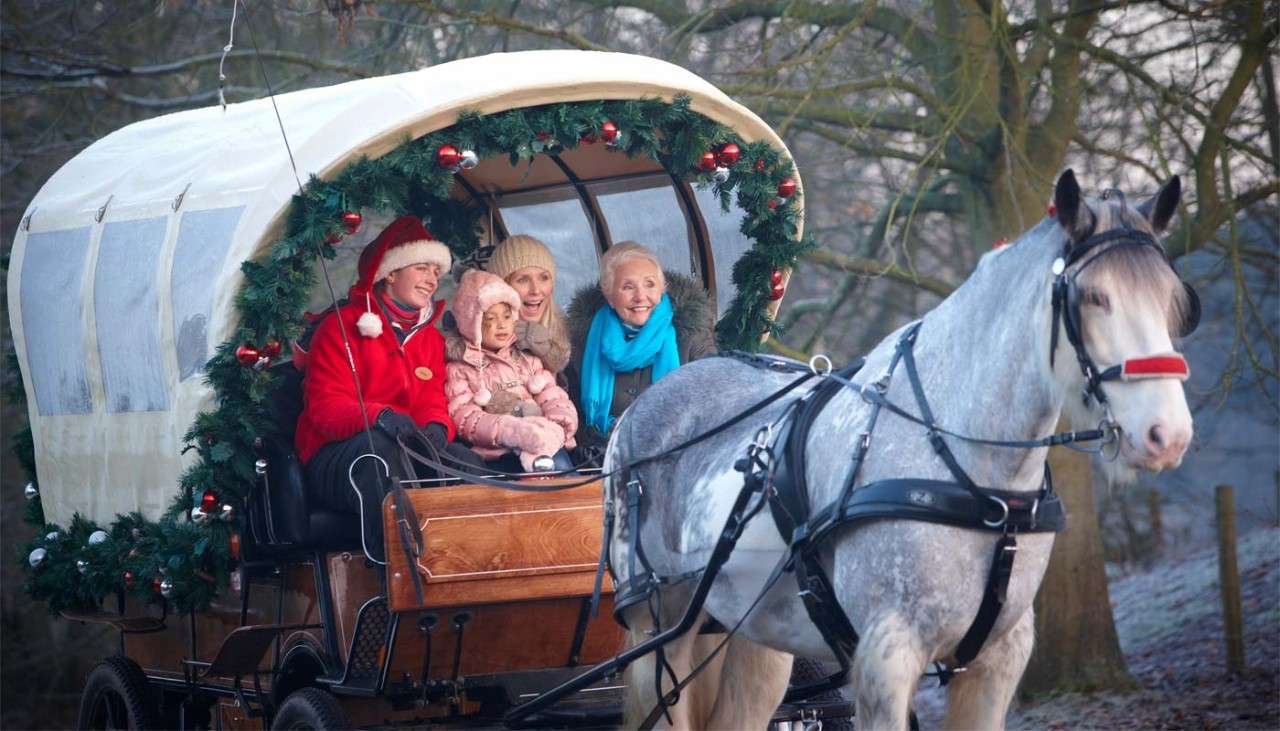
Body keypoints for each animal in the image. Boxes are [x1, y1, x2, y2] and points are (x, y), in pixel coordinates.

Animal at [604, 170, 1192, 727]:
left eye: (1174, 299)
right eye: (1092, 297)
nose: (1168, 433)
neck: (975, 480)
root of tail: (636, 416)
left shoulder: (997, 659)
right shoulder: (887, 656)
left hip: (750, 633)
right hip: (656, 630)